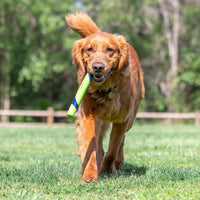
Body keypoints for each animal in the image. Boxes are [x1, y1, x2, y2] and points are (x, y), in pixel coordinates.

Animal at [66, 12, 145, 183]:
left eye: (110, 49)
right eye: (89, 49)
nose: (97, 67)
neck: (106, 90)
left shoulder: (122, 119)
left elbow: (113, 148)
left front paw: (106, 169)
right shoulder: (89, 116)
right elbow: (91, 148)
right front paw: (89, 174)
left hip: (131, 118)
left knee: (121, 141)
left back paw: (117, 162)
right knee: (98, 144)